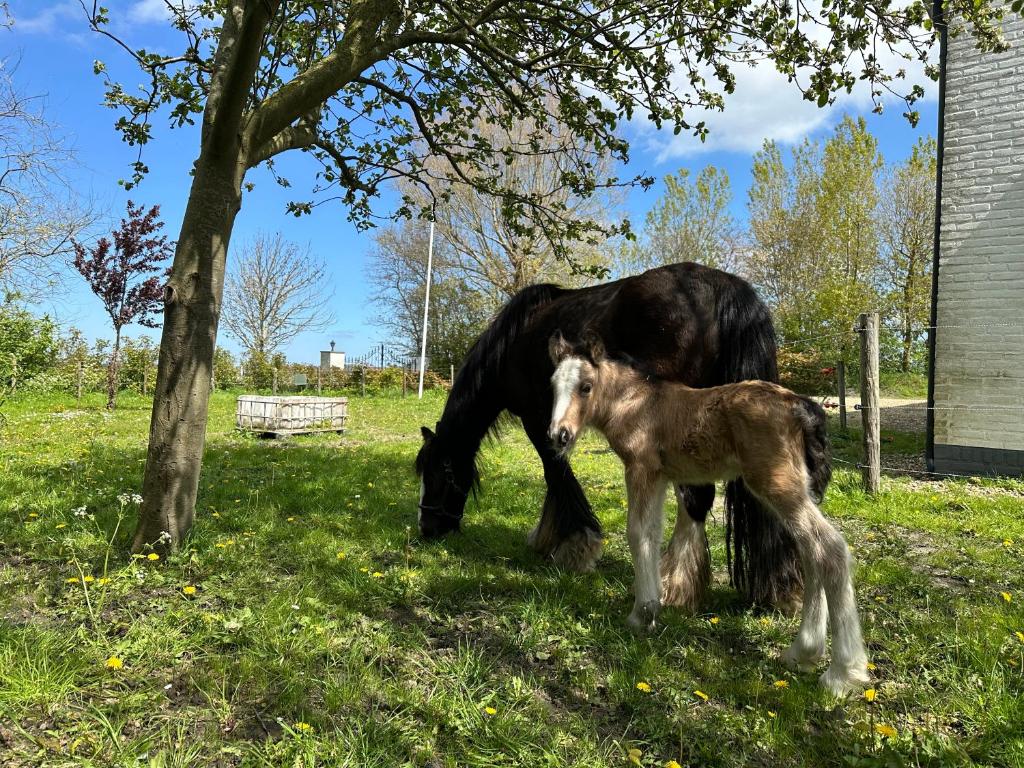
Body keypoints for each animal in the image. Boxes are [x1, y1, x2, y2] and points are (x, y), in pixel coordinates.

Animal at [415, 262, 803, 611]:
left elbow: (555, 474)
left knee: (697, 496)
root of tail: (722, 288)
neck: (513, 343)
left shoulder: (536, 419)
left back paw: (673, 584)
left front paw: (573, 545)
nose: (427, 529)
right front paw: (547, 538)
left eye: (439, 475)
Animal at [547, 331, 870, 694]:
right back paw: (803, 651)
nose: (559, 436)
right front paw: (653, 607)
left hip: (777, 484)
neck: (637, 403)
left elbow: (638, 533)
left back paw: (842, 672)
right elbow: (652, 533)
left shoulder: (640, 469)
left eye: (586, 386)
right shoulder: (660, 477)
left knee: (829, 548)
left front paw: (642, 614)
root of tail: (800, 405)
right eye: (554, 384)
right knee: (810, 550)